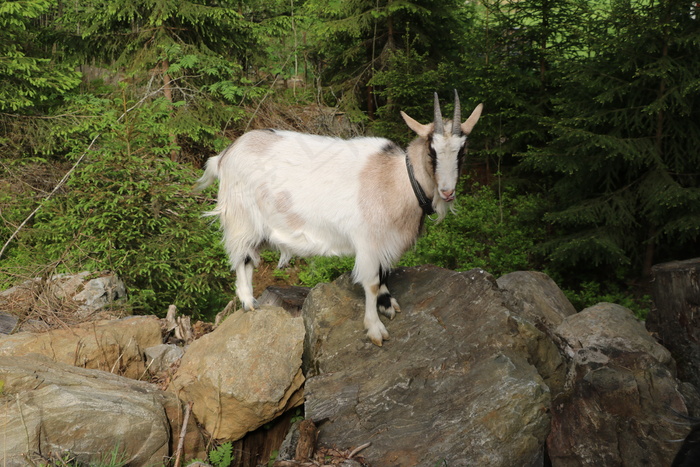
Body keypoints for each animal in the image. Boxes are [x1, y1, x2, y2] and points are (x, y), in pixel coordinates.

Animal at [194, 92, 484, 348]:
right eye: (432, 151)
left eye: (463, 151)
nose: (447, 191)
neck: (397, 179)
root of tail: (225, 155)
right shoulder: (368, 240)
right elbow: (372, 282)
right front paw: (375, 329)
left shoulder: (384, 241)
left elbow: (384, 273)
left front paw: (387, 304)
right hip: (241, 218)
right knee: (242, 257)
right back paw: (248, 302)